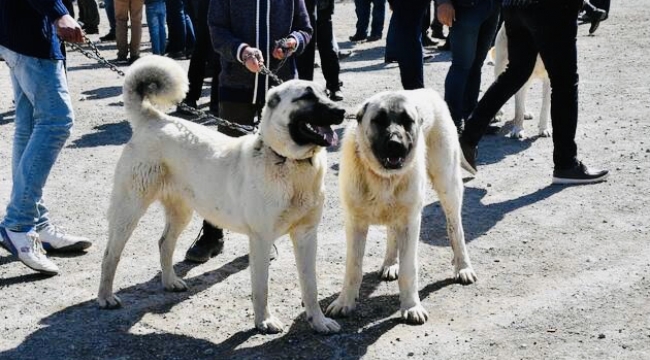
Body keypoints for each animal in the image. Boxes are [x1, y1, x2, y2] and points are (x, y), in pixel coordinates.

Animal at [97, 54, 344, 334]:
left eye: (325, 93)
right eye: (306, 96)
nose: (341, 111)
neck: (290, 163)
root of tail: (155, 118)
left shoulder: (306, 236)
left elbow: (310, 286)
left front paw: (318, 321)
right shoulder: (261, 239)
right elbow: (261, 287)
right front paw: (264, 321)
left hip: (181, 212)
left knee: (164, 243)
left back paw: (170, 282)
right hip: (129, 210)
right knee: (110, 255)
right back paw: (106, 297)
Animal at [324, 88, 476, 324]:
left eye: (407, 121)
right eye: (379, 120)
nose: (395, 144)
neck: (382, 177)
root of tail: (429, 91)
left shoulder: (410, 222)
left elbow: (408, 269)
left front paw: (411, 306)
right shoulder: (355, 223)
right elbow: (353, 267)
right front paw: (345, 302)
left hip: (448, 187)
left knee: (456, 230)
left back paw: (463, 267)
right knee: (391, 233)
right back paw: (389, 263)